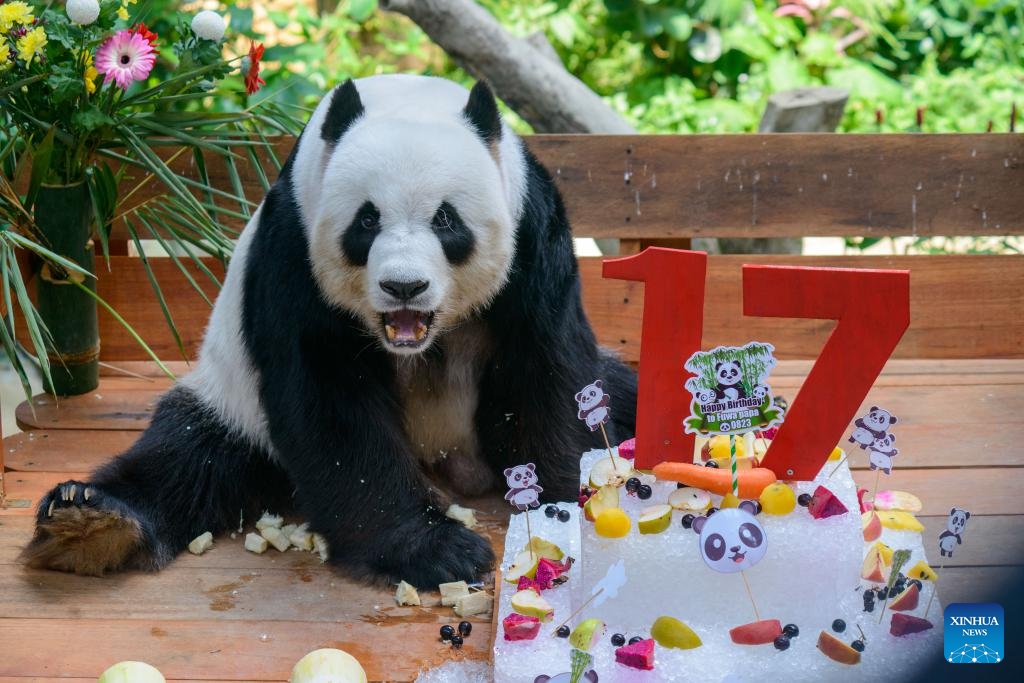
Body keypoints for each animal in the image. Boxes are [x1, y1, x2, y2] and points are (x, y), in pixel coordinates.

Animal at [22, 74, 630, 589]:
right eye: (367, 220)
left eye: (446, 220)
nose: (404, 286)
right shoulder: (294, 244)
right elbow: (329, 398)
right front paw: (437, 551)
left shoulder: (533, 231)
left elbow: (545, 368)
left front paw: (563, 504)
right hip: (235, 407)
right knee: (187, 457)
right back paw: (89, 522)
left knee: (624, 398)